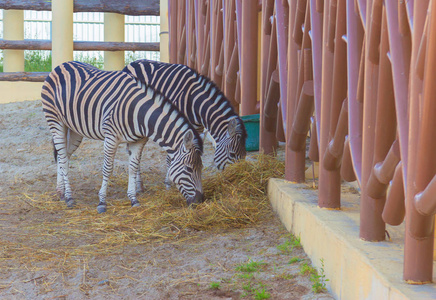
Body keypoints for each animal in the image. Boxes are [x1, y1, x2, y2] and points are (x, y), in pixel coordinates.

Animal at [41, 61, 204, 212]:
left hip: (74, 129)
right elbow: (107, 169)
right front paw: (102, 202)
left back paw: (61, 192)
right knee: (62, 157)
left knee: (64, 156)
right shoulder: (111, 138)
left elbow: (132, 167)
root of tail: (61, 65)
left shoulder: (138, 141)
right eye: (189, 169)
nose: (200, 201)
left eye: (201, 168)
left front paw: (133, 199)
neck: (138, 112)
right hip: (55, 121)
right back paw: (69, 197)